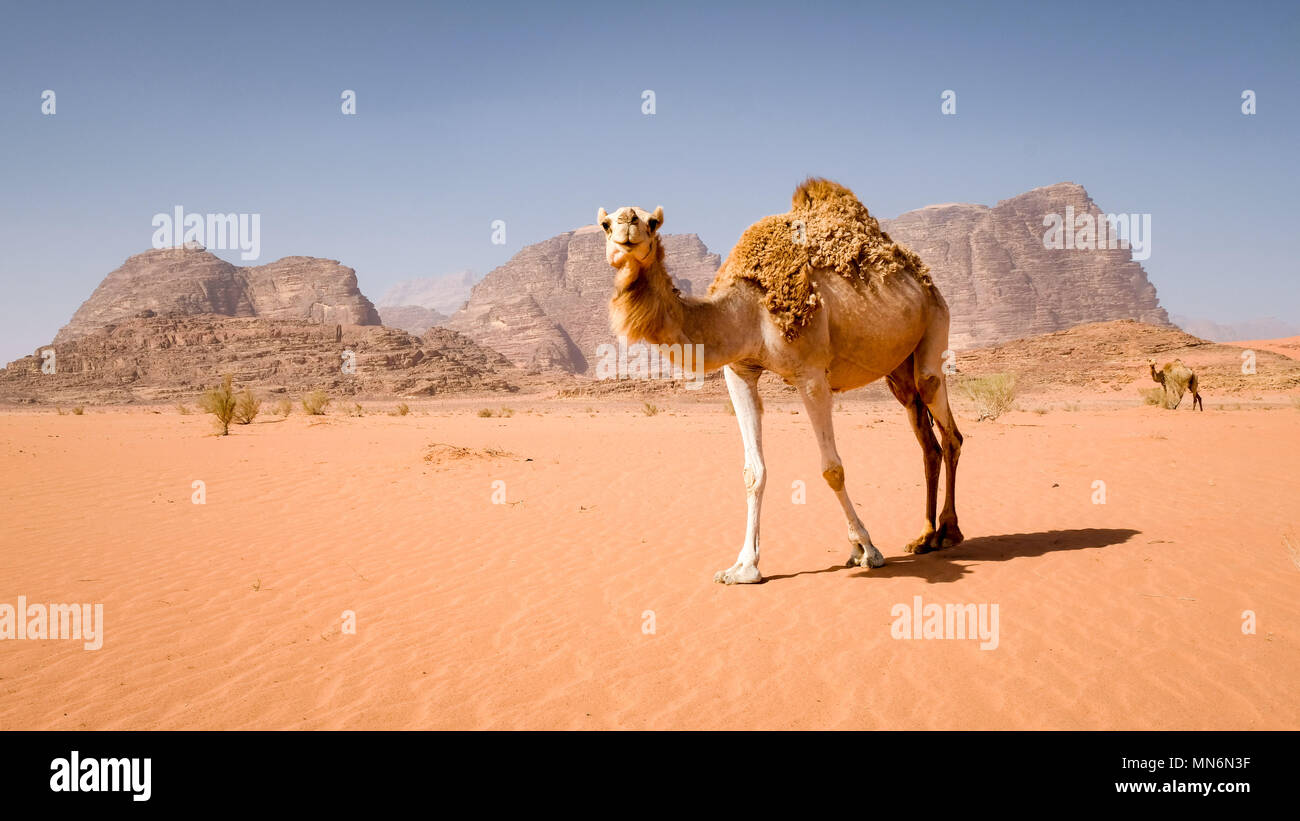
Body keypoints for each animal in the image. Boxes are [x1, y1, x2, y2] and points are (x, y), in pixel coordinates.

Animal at [603, 177, 961, 584]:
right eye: (605, 224)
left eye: (652, 222)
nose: (626, 224)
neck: (746, 310)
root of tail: (923, 276)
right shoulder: (739, 371)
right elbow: (752, 471)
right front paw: (744, 567)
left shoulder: (811, 374)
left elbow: (832, 468)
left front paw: (867, 549)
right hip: (897, 369)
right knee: (926, 439)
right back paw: (925, 537)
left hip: (935, 322)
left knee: (945, 422)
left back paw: (949, 532)